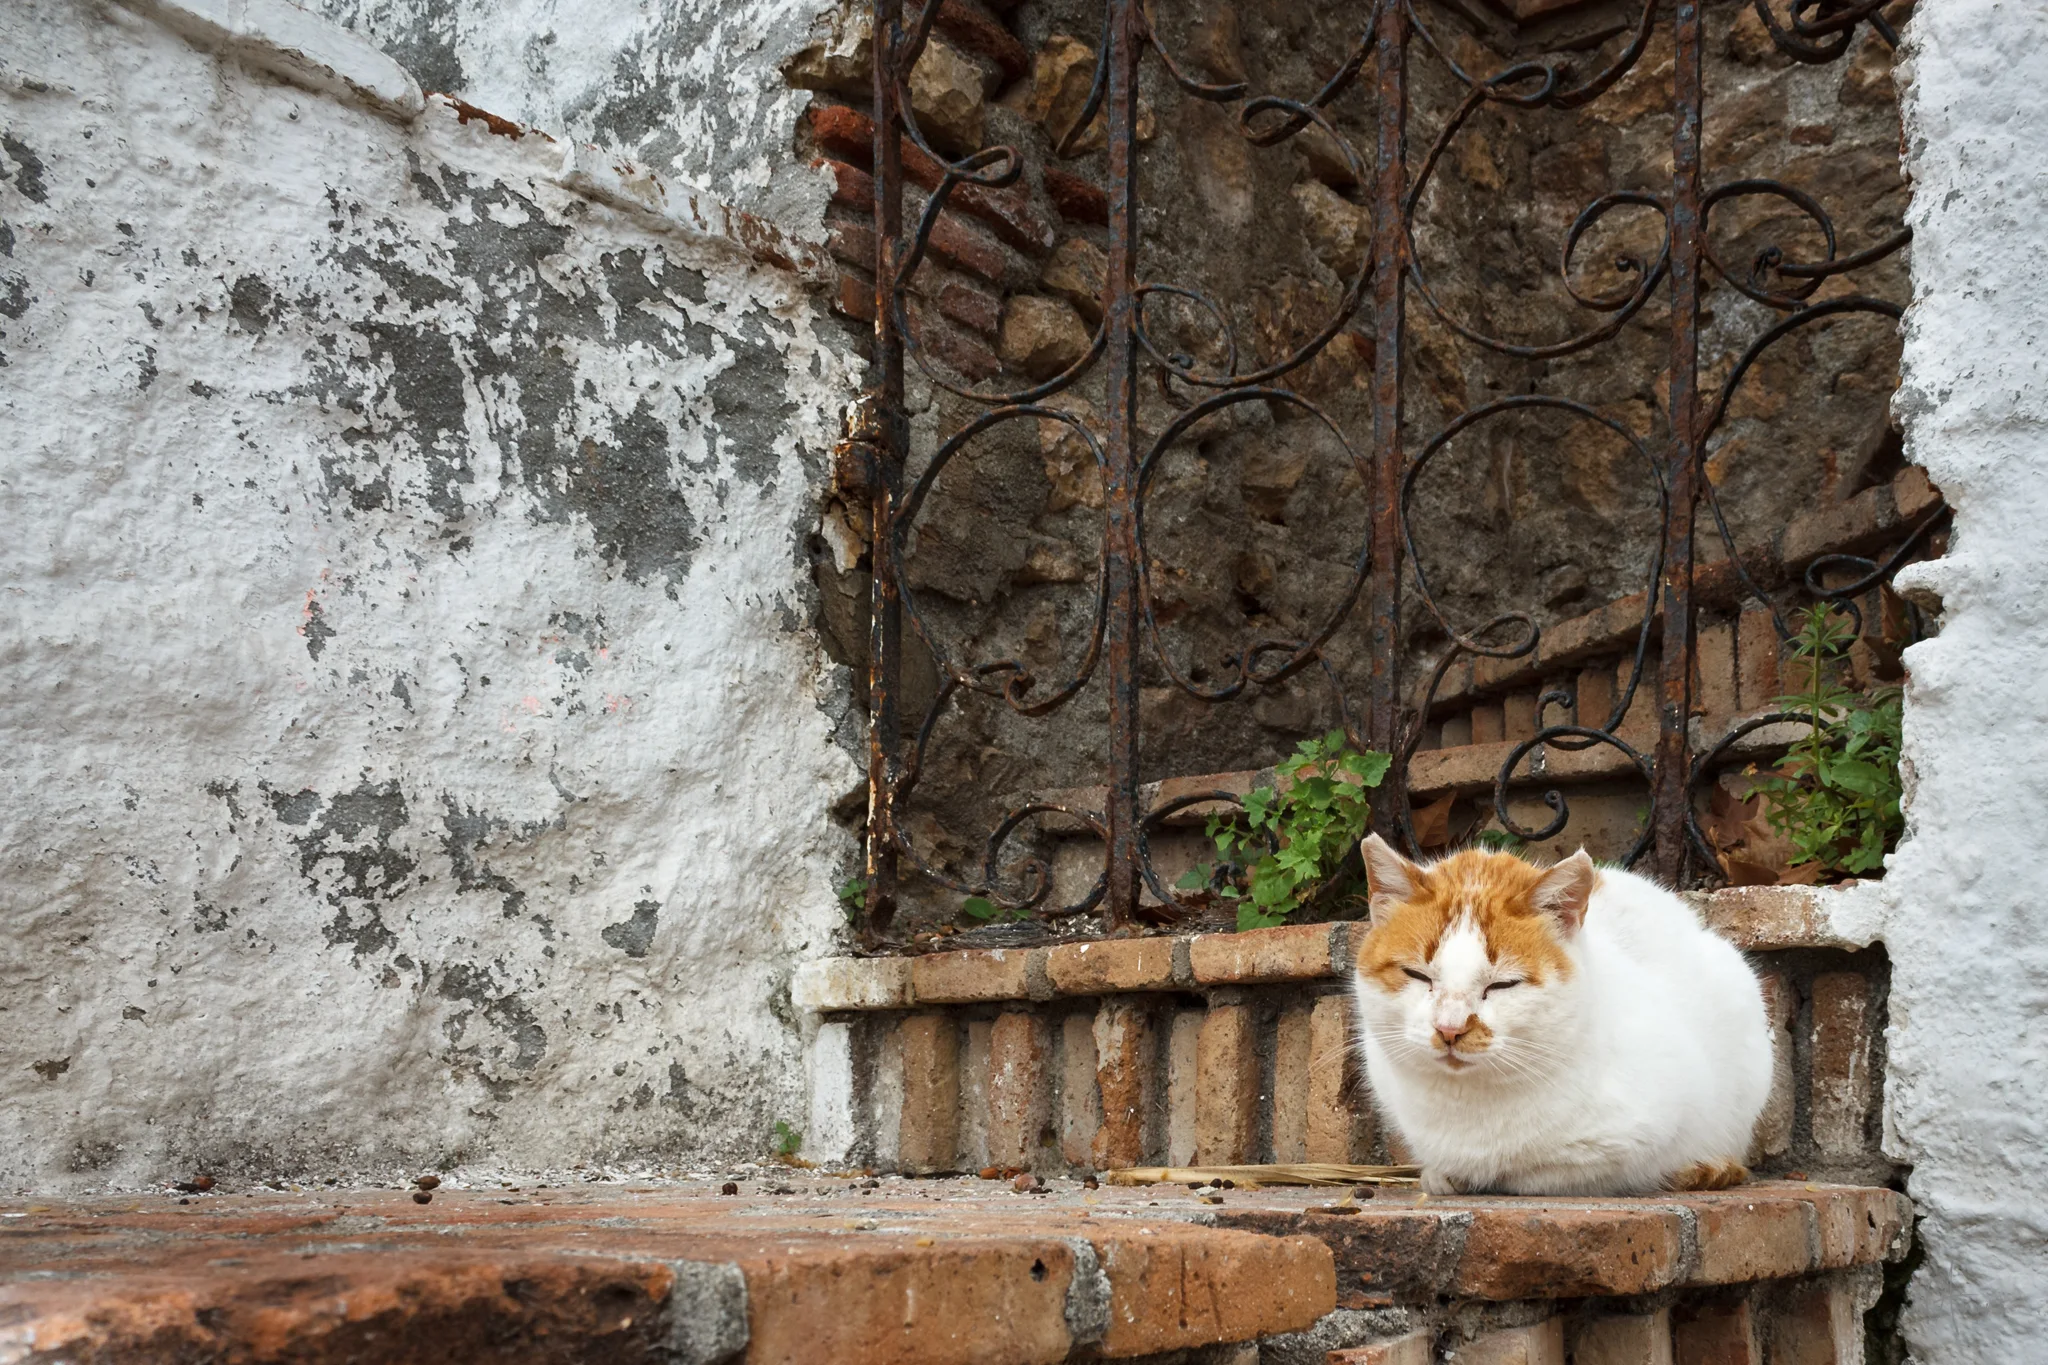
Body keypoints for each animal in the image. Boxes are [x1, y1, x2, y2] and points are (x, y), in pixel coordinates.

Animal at [1351, 834, 1769, 1195]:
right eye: (1417, 975)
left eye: (1503, 985)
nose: (1449, 1029)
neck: (1465, 1104)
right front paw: (1442, 1173)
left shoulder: (1634, 1144)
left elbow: (1534, 1172)